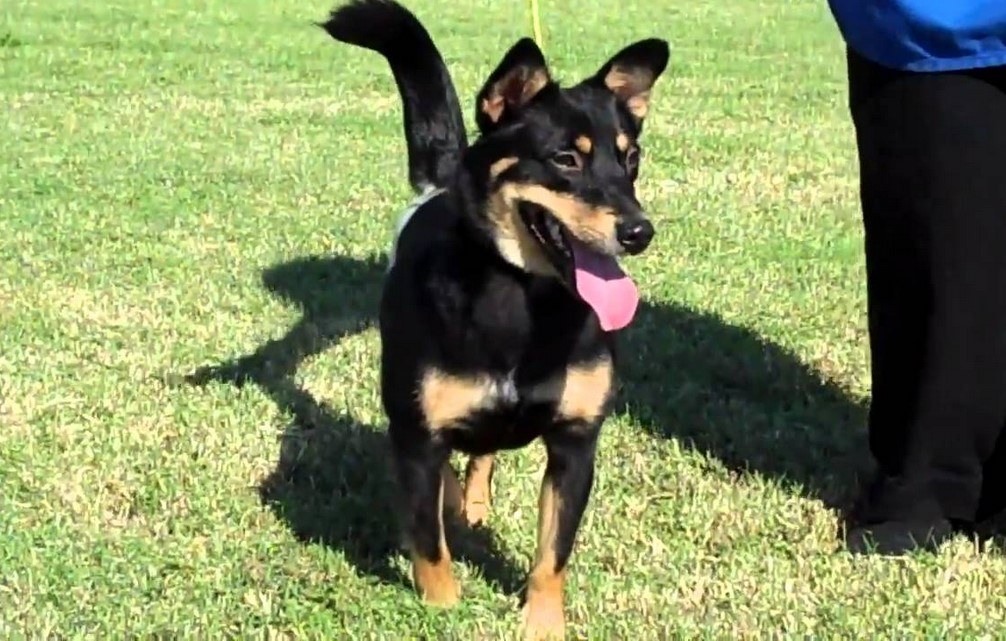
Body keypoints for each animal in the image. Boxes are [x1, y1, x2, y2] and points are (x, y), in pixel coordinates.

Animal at [317, 2, 672, 635]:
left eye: (631, 159)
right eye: (565, 159)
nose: (639, 232)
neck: (523, 299)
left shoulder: (575, 444)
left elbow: (552, 555)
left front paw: (543, 623)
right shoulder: (416, 439)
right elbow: (429, 545)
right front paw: (442, 611)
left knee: (482, 456)